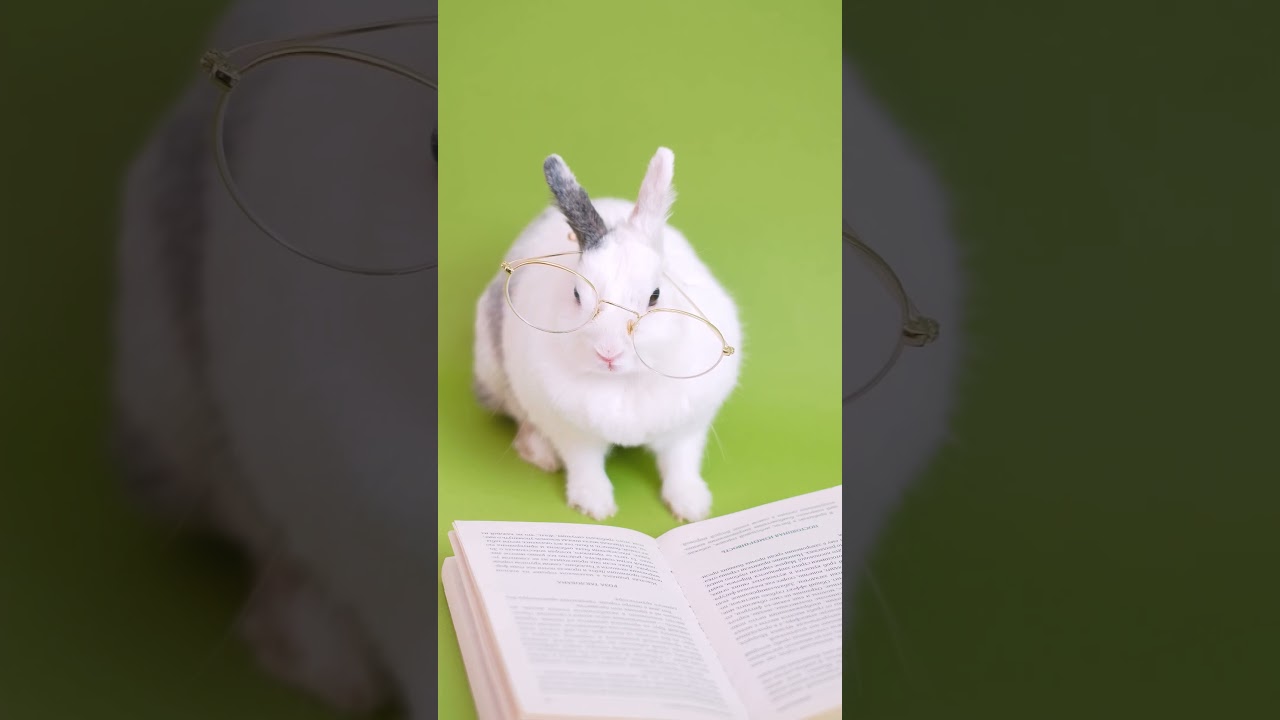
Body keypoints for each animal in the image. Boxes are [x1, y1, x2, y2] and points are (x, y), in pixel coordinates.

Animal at [473, 148, 744, 523]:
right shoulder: (570, 430)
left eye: (655, 296)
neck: (624, 382)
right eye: (576, 295)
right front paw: (595, 506)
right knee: (519, 417)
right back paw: (542, 454)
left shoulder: (687, 430)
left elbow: (680, 465)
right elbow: (585, 465)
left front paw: (692, 507)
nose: (608, 353)